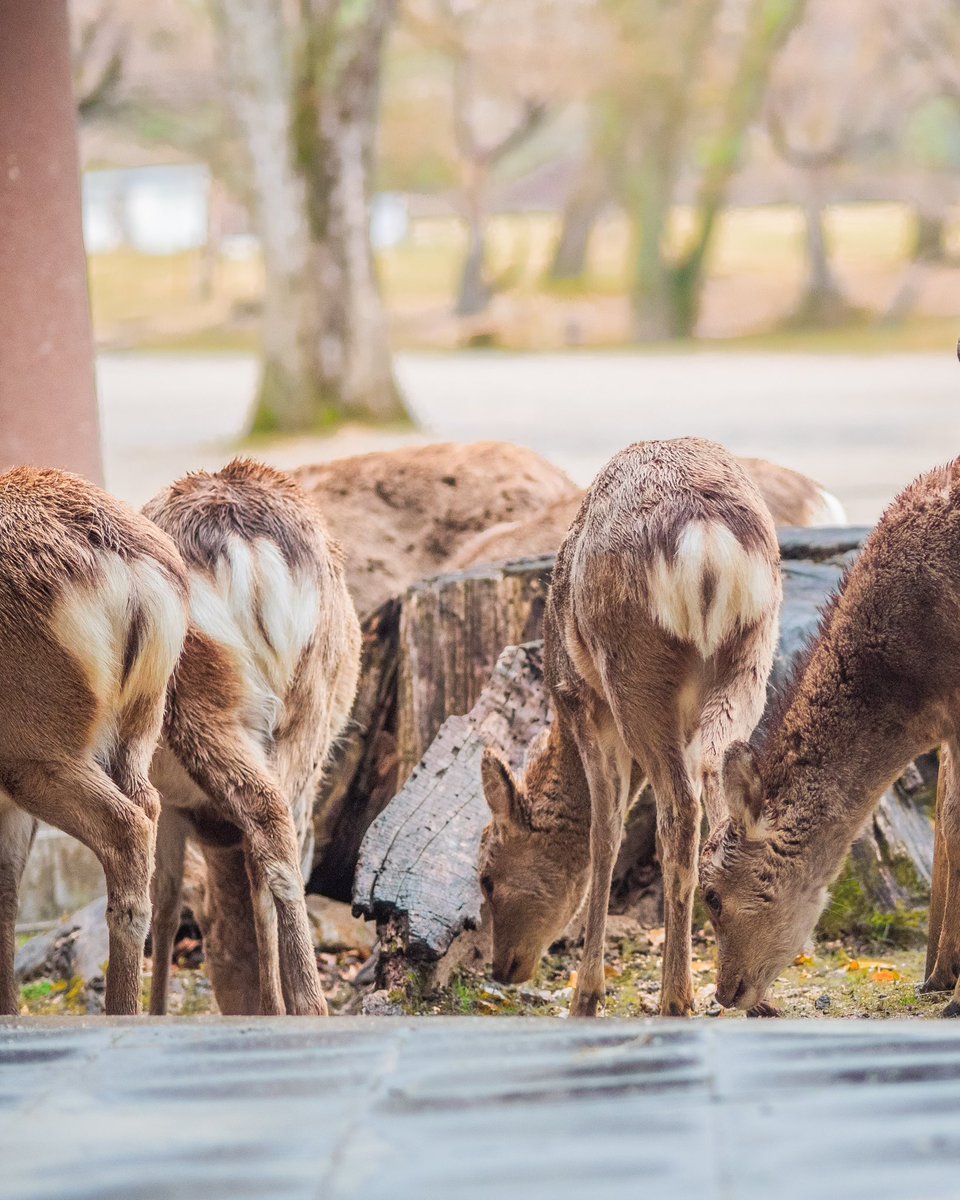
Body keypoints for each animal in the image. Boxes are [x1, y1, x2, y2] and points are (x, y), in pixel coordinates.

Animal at [144, 459, 360, 1017]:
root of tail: (244, 543)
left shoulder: (168, 803)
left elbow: (166, 905)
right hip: (309, 700)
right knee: (278, 836)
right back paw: (303, 1006)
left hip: (196, 697)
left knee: (262, 813)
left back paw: (294, 1003)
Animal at [479, 438, 782, 1016]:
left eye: (485, 878)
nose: (500, 967)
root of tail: (706, 538)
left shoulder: (581, 701)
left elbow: (605, 831)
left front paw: (586, 995)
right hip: (751, 654)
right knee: (718, 777)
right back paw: (744, 996)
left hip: (633, 671)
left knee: (679, 812)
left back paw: (674, 998)